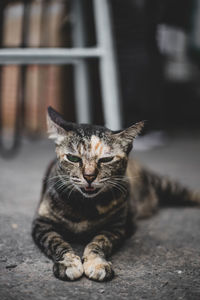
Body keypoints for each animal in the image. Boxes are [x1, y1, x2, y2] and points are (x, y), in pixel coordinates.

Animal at [32, 106, 199, 282]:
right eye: (73, 158)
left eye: (106, 159)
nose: (89, 176)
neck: (85, 206)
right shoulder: (42, 223)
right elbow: (56, 242)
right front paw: (69, 262)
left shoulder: (117, 226)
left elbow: (98, 242)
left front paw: (97, 264)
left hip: (163, 184)